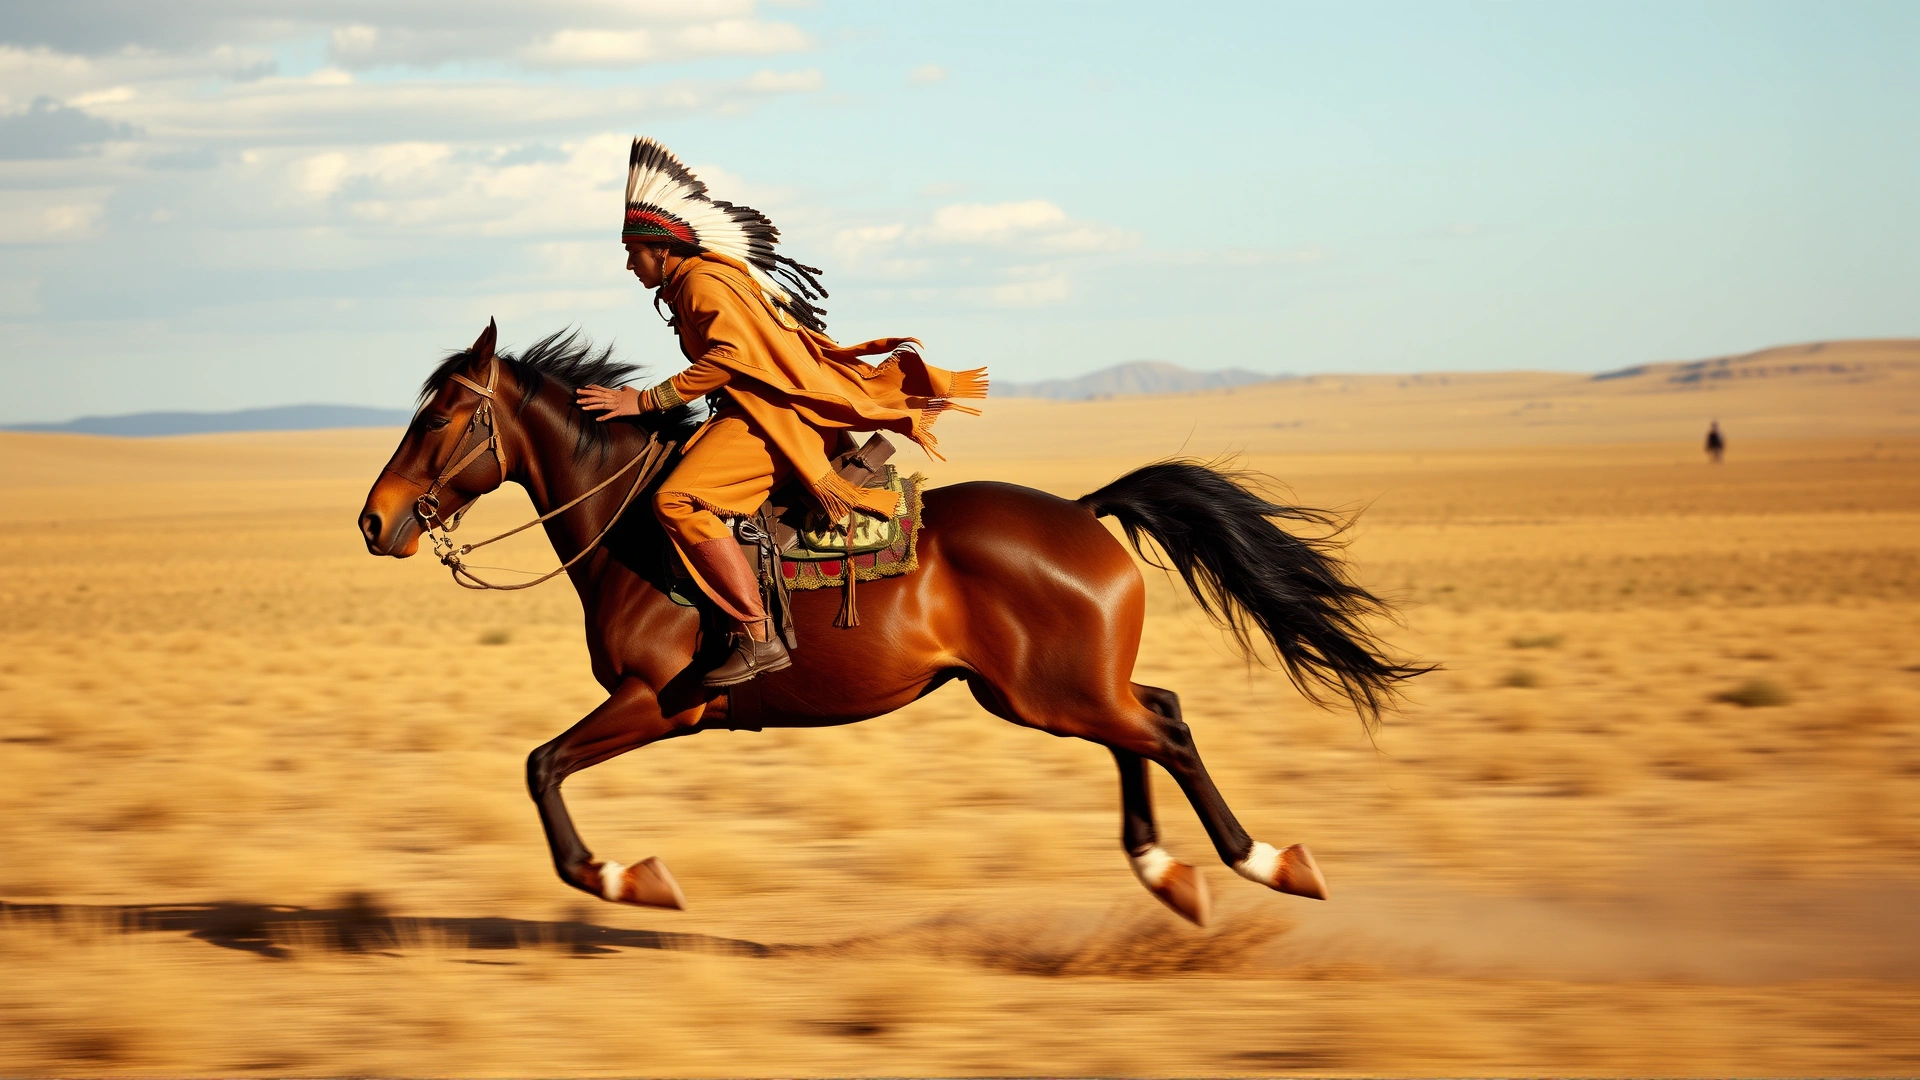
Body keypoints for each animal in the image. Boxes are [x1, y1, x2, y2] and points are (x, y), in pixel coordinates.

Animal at [357, 321, 1424, 927]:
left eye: (441, 417)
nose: (375, 520)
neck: (636, 529)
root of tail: (1085, 512)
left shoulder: (659, 702)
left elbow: (541, 767)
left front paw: (633, 879)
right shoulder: (653, 708)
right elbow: (542, 766)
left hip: (1050, 694)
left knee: (1165, 730)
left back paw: (1266, 863)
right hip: (1050, 693)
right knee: (1150, 720)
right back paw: (1168, 874)